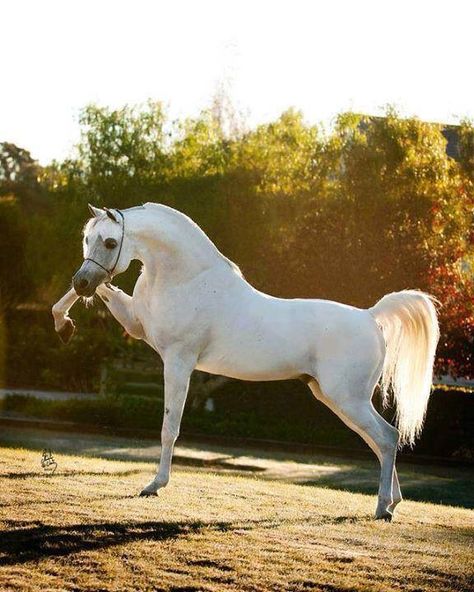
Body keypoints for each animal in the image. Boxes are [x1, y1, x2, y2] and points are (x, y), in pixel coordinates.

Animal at [51, 202, 436, 520]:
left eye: (110, 242)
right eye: (87, 239)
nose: (82, 280)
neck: (187, 278)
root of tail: (371, 317)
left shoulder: (177, 362)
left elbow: (169, 427)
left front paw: (154, 486)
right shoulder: (136, 324)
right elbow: (100, 292)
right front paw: (63, 324)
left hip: (347, 399)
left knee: (386, 437)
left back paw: (383, 509)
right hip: (334, 398)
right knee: (381, 441)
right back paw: (392, 503)